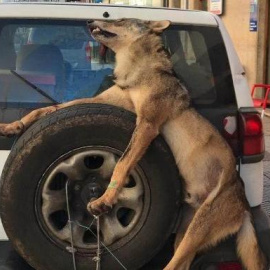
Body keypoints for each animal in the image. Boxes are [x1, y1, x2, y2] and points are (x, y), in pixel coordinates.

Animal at [0, 17, 266, 268]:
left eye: (119, 19)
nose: (89, 21)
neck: (137, 70)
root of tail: (245, 207)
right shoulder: (104, 102)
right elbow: (50, 108)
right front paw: (13, 126)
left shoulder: (147, 125)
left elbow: (122, 163)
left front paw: (104, 201)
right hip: (184, 235)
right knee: (181, 263)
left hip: (195, 231)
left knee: (173, 264)